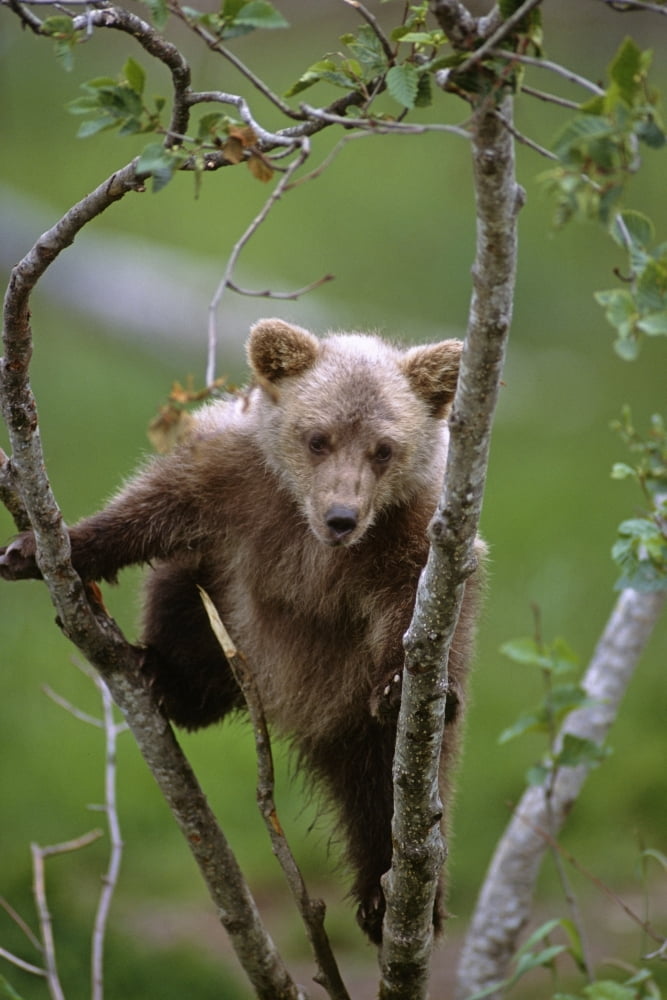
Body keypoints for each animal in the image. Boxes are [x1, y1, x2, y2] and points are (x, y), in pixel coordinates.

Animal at [0, 318, 482, 944]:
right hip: (224, 614)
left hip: (373, 723)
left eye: (384, 448)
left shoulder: (416, 534)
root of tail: (297, 712)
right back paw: (167, 680)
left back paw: (391, 901)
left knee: (392, 793)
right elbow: (146, 512)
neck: (310, 534)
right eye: (317, 437)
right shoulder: (233, 485)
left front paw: (400, 683)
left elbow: (415, 613)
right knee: (181, 598)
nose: (342, 517)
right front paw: (36, 549)